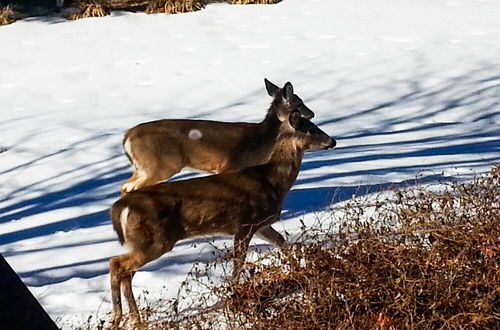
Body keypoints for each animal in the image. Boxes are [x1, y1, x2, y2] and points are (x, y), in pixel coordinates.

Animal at [109, 106, 336, 328]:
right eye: (311, 129)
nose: (333, 141)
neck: (272, 180)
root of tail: (121, 206)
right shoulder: (245, 223)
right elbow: (239, 262)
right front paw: (233, 292)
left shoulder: (262, 224)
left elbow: (282, 242)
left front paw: (299, 272)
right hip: (155, 239)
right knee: (117, 264)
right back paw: (120, 318)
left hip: (143, 240)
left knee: (125, 272)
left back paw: (134, 319)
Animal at [120, 79, 312, 195]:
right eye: (300, 103)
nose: (312, 113)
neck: (261, 141)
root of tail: (126, 137)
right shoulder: (230, 165)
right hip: (160, 165)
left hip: (142, 167)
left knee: (125, 186)